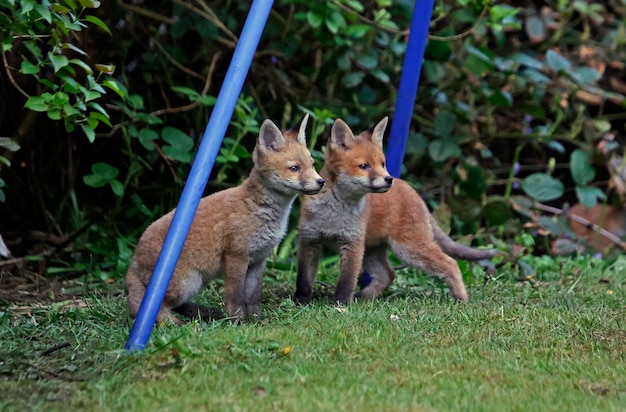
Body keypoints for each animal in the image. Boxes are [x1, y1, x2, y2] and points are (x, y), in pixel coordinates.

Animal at [125, 114, 324, 324]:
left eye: (312, 165)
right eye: (294, 168)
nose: (321, 182)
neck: (260, 209)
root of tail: (134, 259)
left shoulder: (258, 260)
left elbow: (253, 296)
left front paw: (257, 321)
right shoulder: (236, 256)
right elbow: (235, 296)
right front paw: (237, 322)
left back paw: (202, 313)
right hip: (187, 282)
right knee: (154, 305)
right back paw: (172, 323)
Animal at [294, 117, 494, 304]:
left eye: (382, 164)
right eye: (364, 166)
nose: (388, 179)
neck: (333, 213)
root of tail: (411, 189)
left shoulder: (352, 244)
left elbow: (346, 281)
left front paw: (340, 305)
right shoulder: (310, 240)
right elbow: (304, 279)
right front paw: (301, 302)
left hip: (408, 248)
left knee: (450, 263)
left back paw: (461, 299)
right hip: (373, 251)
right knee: (388, 274)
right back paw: (365, 297)